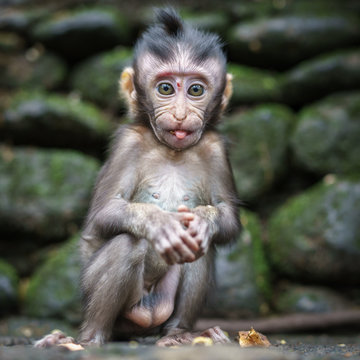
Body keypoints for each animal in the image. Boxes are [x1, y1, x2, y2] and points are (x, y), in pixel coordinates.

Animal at [35, 7, 240, 346]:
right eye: (166, 88)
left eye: (196, 90)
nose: (181, 115)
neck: (171, 151)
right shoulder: (127, 143)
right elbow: (105, 213)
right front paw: (159, 223)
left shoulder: (216, 148)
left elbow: (227, 220)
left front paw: (202, 219)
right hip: (111, 304)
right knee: (128, 245)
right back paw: (88, 339)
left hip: (162, 306)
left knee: (201, 247)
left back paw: (180, 334)